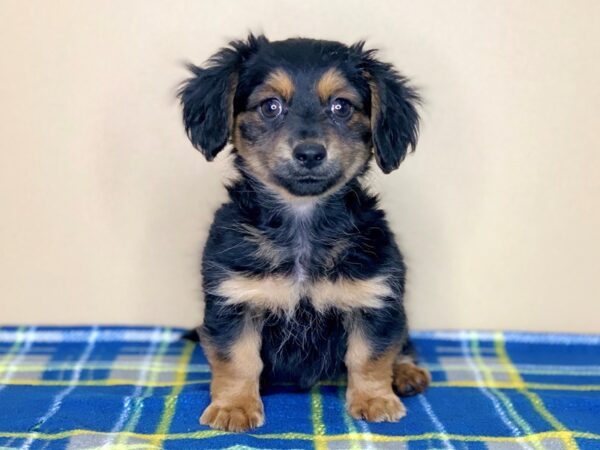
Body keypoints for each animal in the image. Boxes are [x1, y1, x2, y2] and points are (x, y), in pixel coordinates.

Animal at [176, 35, 428, 432]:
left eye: (341, 106)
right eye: (270, 107)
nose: (310, 153)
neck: (302, 225)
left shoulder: (375, 299)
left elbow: (369, 356)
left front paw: (375, 400)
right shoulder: (233, 302)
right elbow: (238, 360)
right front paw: (234, 407)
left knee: (403, 344)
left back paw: (406, 374)